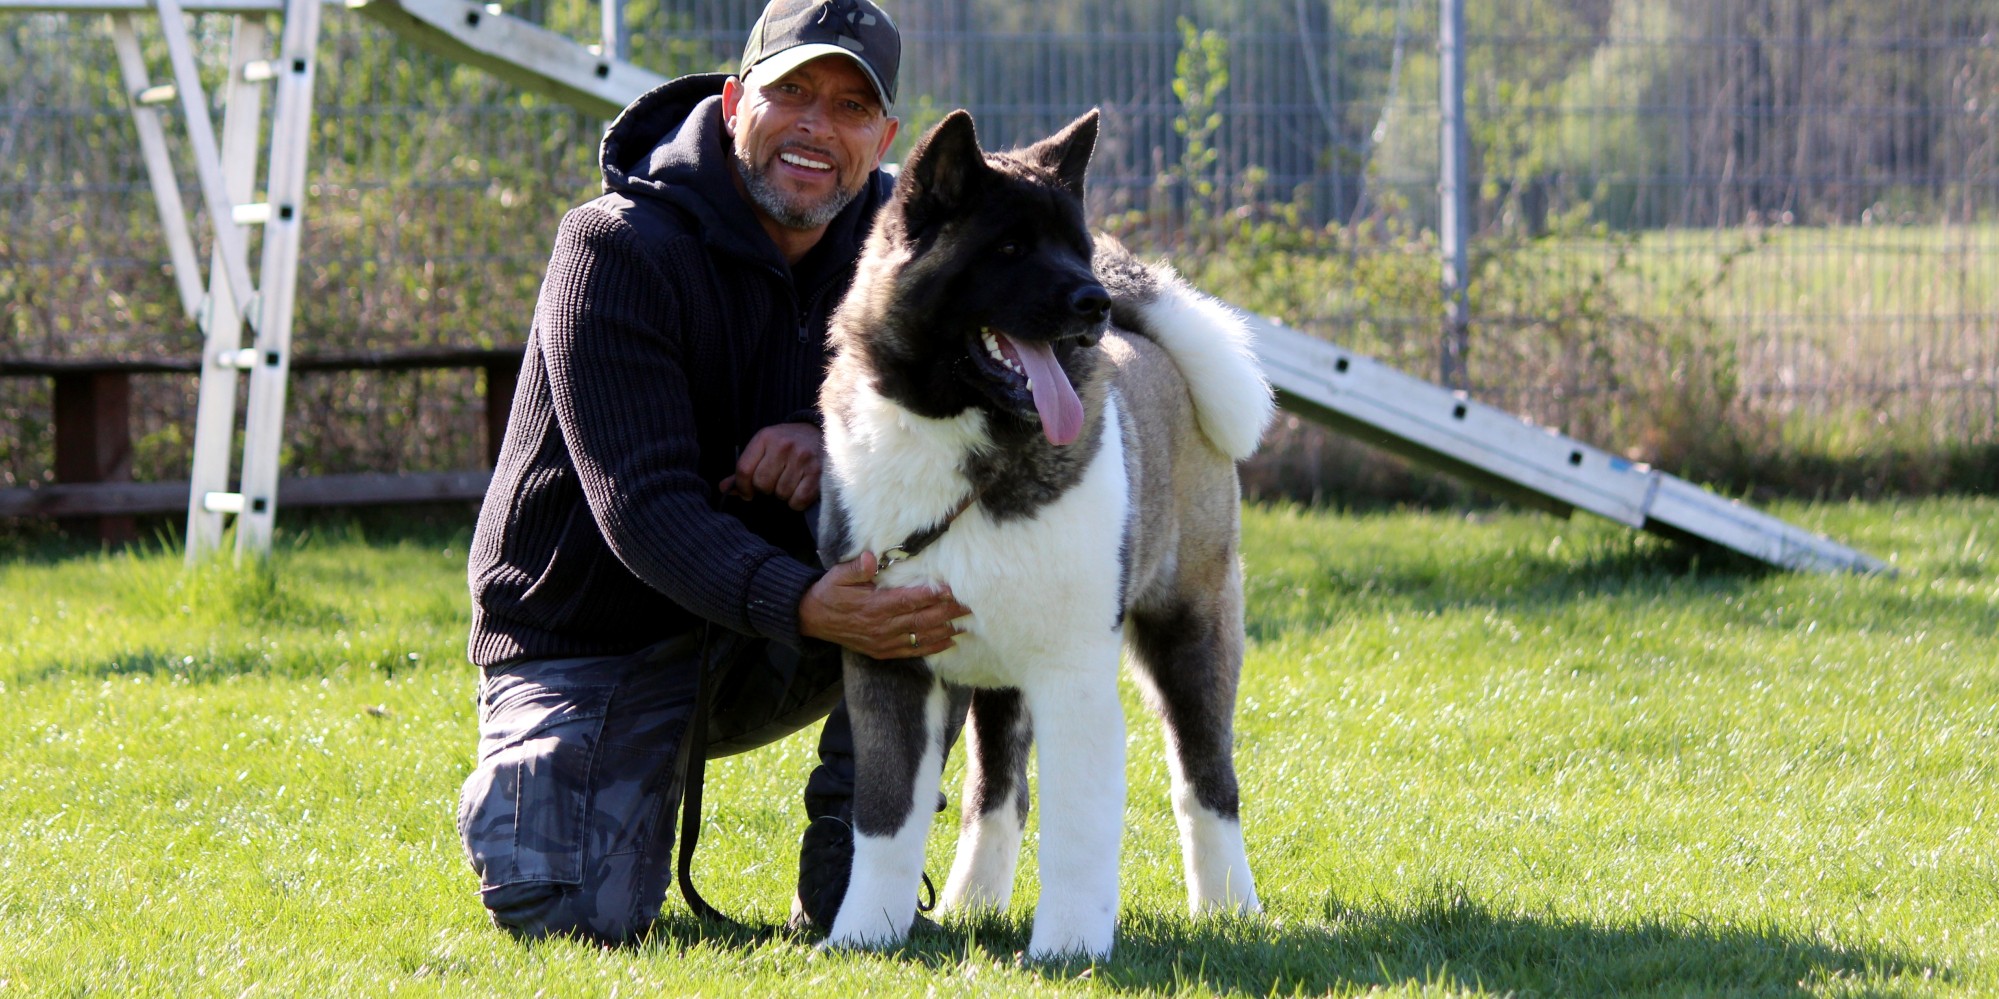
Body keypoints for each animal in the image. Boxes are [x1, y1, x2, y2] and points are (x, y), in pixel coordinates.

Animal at [807, 109, 1263, 959]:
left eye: (1073, 247)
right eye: (1010, 249)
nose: (1093, 301)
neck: (963, 442)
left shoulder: (1072, 674)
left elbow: (1078, 829)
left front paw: (1069, 949)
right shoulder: (888, 661)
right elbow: (883, 816)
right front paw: (863, 938)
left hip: (1190, 629)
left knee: (1205, 779)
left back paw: (1229, 908)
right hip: (998, 680)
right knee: (998, 792)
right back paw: (971, 901)